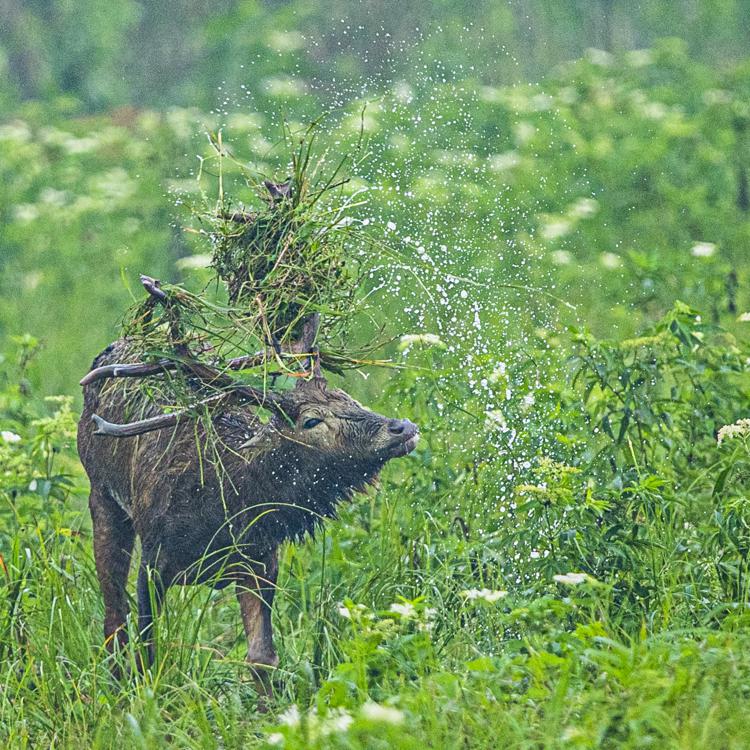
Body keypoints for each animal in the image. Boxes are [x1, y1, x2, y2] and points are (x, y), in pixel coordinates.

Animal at [77, 282, 419, 696]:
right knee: (114, 616)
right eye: (311, 420)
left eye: (349, 398)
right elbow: (147, 649)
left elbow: (262, 658)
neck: (226, 508)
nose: (401, 427)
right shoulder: (154, 559)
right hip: (102, 495)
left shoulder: (260, 560)